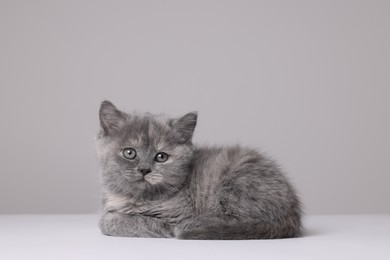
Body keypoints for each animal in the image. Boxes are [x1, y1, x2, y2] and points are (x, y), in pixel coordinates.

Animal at [96, 100, 302, 239]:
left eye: (161, 157)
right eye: (129, 152)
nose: (144, 170)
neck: (137, 198)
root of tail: (292, 213)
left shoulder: (174, 215)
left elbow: (111, 222)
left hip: (237, 182)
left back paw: (196, 225)